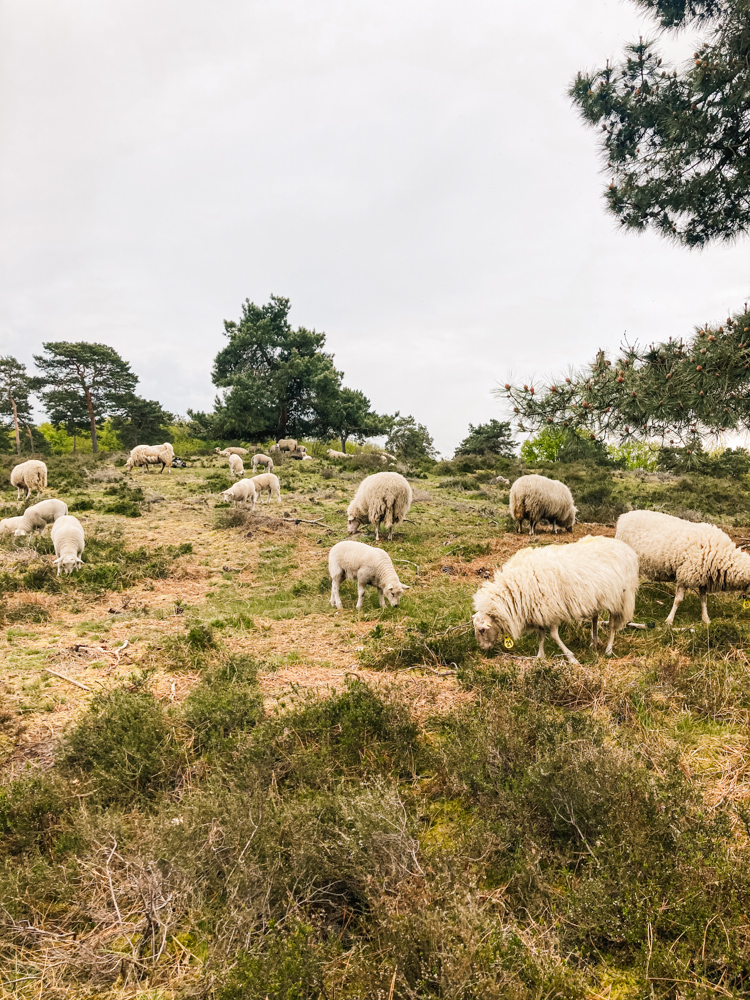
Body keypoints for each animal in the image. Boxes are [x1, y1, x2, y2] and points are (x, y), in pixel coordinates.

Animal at [472, 536, 636, 668]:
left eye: (482, 630)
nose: (483, 649)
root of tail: (623, 546)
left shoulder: (552, 608)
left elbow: (553, 635)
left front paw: (571, 658)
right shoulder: (539, 611)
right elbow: (541, 635)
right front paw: (540, 656)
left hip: (620, 598)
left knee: (613, 626)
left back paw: (608, 649)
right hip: (597, 598)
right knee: (594, 618)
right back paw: (594, 642)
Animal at [612, 508, 750, 624]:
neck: (721, 555)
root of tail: (624, 516)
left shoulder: (702, 578)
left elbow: (703, 600)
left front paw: (706, 619)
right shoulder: (685, 574)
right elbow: (678, 600)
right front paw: (669, 620)